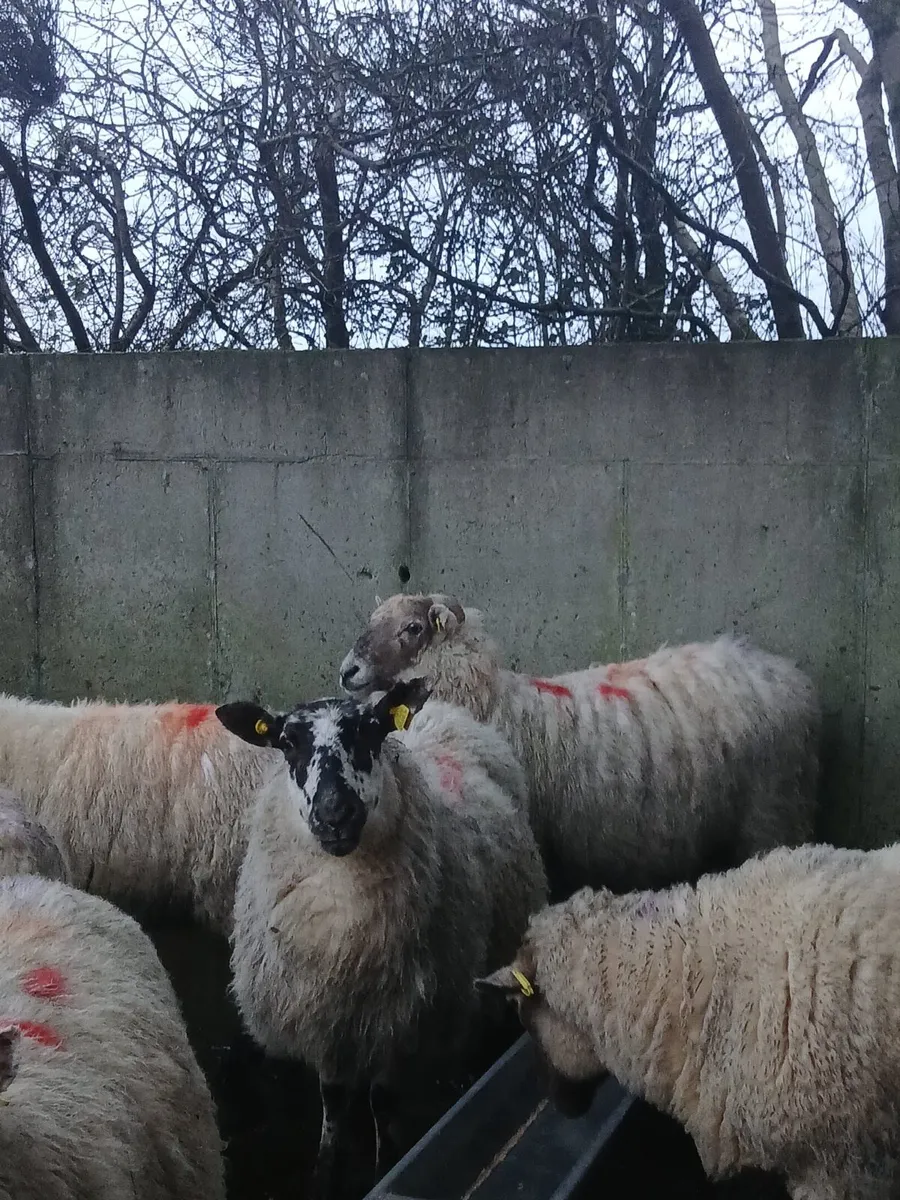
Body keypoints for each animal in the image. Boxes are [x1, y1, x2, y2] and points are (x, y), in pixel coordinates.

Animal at [215, 677, 547, 1197]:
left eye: (371, 731)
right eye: (287, 742)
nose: (335, 813)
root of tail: (441, 711)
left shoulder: (400, 1017)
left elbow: (382, 1101)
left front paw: (385, 1165)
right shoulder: (326, 1015)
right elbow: (333, 1098)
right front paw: (325, 1172)